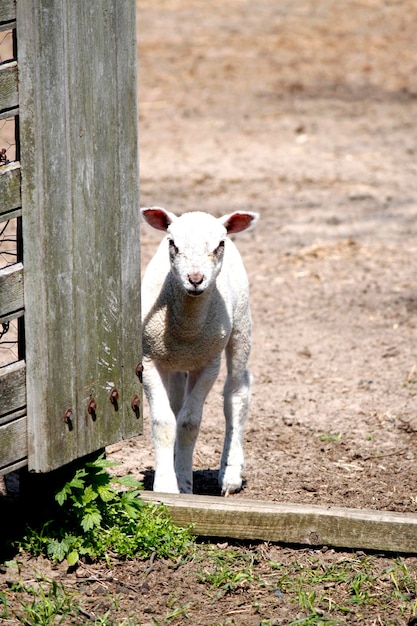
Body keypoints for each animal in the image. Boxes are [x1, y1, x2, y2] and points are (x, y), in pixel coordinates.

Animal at [140, 207, 256, 494]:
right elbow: (164, 421)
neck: (188, 330)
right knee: (175, 402)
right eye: (172, 243)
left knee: (237, 393)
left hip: (241, 324)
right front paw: (167, 484)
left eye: (219, 244)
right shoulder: (149, 359)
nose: (195, 279)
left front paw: (183, 482)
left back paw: (230, 475)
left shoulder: (208, 364)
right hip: (174, 362)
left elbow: (189, 422)